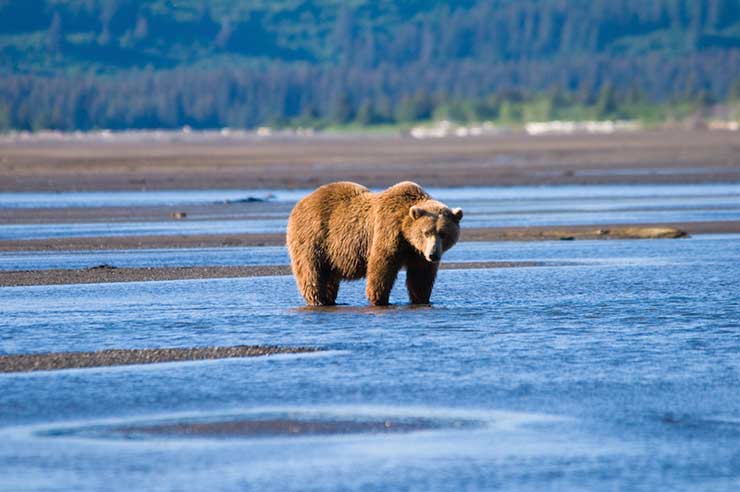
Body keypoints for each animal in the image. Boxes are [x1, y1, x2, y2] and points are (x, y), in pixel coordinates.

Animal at [286, 181, 460, 304]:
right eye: (426, 232)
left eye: (443, 233)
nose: (433, 255)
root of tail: (301, 202)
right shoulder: (387, 231)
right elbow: (381, 267)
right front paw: (378, 298)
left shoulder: (417, 253)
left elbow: (421, 276)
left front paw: (421, 299)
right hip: (313, 237)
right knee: (311, 272)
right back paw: (318, 300)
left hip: (331, 254)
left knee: (329, 279)